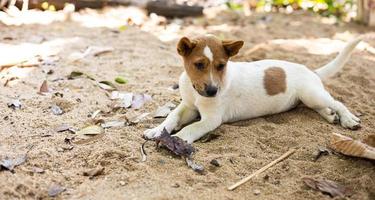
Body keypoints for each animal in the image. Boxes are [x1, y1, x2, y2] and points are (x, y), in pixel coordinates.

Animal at [144, 34, 362, 144]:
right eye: (199, 65)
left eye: (221, 66)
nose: (213, 91)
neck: (195, 90)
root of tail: (310, 70)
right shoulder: (188, 106)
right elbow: (171, 117)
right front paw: (156, 130)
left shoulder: (212, 119)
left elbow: (192, 127)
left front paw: (177, 139)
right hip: (309, 99)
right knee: (323, 106)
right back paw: (330, 115)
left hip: (311, 94)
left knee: (337, 102)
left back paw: (348, 119)